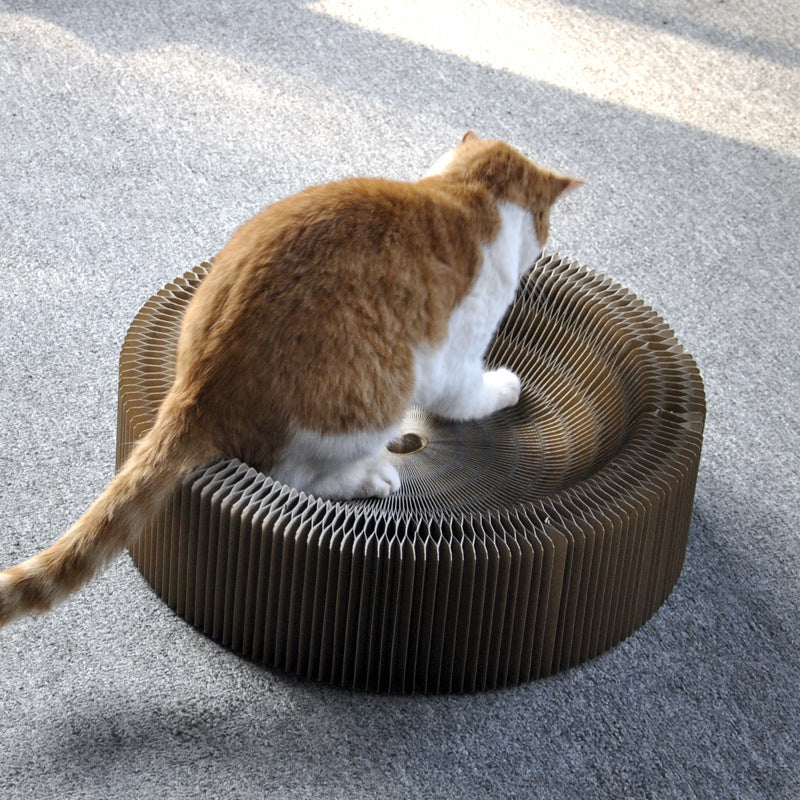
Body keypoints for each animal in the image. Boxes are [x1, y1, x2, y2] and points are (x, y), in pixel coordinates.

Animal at [0, 134, 580, 628]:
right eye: (545, 224)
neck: (466, 195)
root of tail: (195, 394)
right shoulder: (454, 360)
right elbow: (469, 396)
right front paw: (506, 387)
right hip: (376, 395)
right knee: (296, 477)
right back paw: (370, 476)